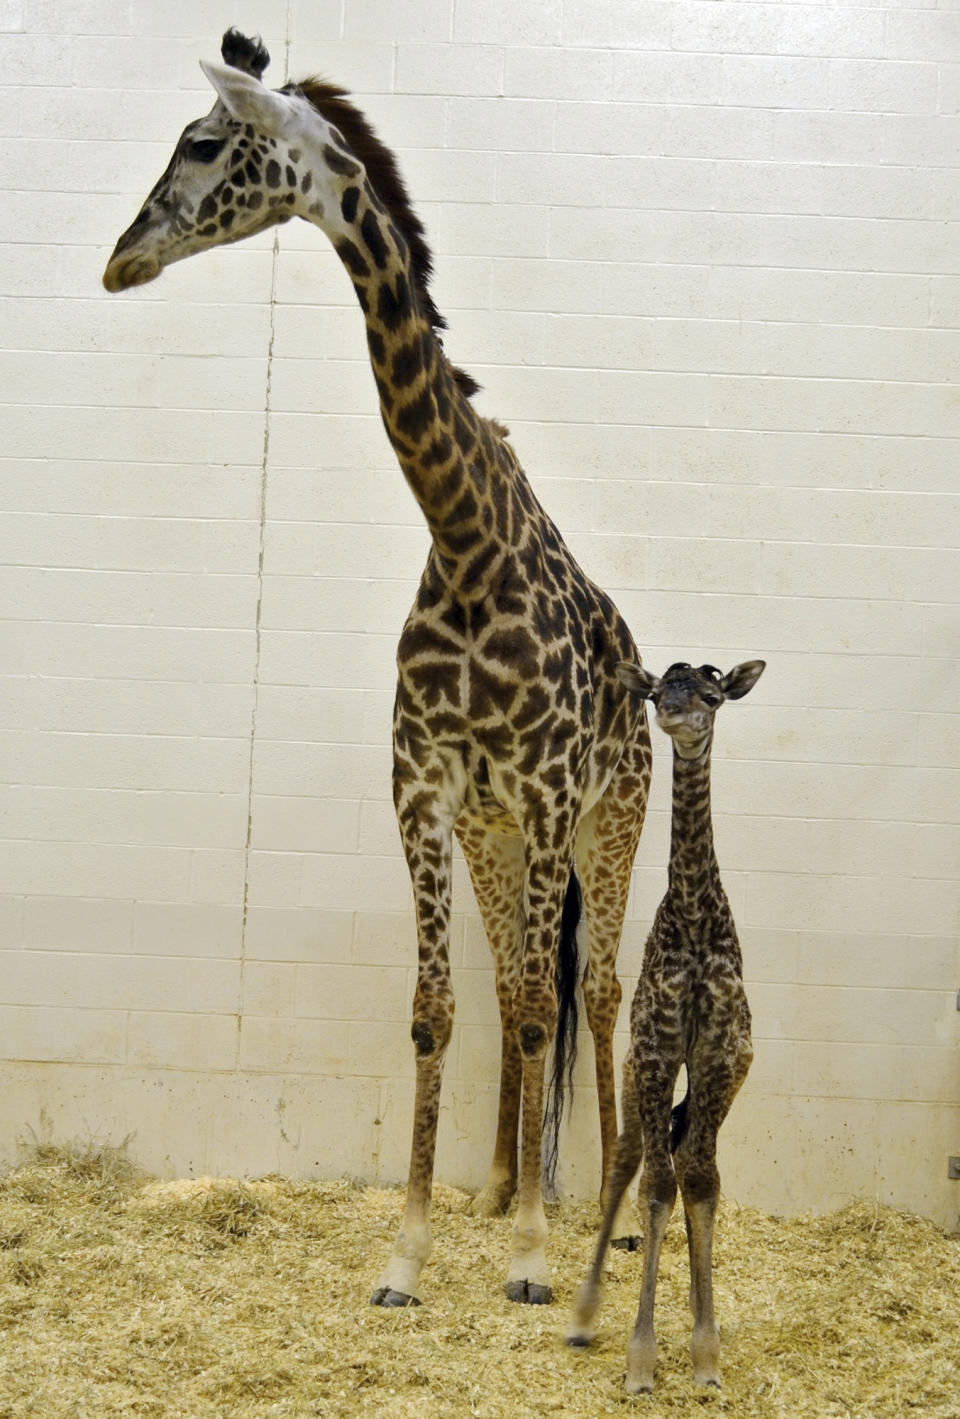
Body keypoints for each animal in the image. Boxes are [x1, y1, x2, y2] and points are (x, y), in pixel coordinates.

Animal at [104, 30, 652, 1305]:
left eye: (201, 142)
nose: (120, 261)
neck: (466, 537)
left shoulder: (548, 795)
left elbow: (544, 1011)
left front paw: (535, 1259)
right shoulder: (428, 792)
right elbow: (439, 1011)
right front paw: (412, 1249)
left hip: (609, 821)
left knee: (596, 990)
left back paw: (605, 1212)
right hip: (500, 840)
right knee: (516, 984)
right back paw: (500, 1188)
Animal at [570, 658, 765, 1390]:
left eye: (712, 693)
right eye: (658, 690)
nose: (675, 718)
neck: (695, 917)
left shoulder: (721, 1053)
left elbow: (701, 1180)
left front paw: (706, 1353)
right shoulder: (655, 1049)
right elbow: (655, 1184)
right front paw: (641, 1357)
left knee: (679, 1158)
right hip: (634, 1070)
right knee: (630, 1157)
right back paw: (584, 1314)